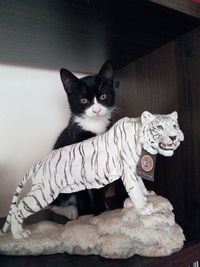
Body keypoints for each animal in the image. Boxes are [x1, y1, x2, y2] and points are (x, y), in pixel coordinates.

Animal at [50, 61, 115, 220]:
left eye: (103, 96)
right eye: (83, 100)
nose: (96, 110)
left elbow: (98, 189)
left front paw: (100, 212)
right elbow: (81, 193)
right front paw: (86, 216)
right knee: (54, 203)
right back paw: (70, 211)